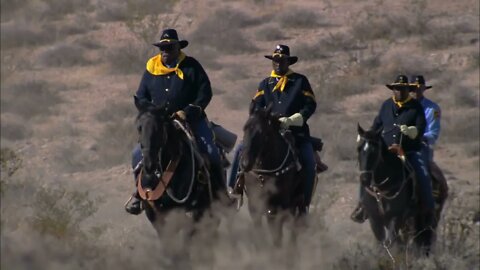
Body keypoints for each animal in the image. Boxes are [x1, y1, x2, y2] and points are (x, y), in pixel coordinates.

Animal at [239, 105, 306, 245]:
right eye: (244, 128)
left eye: (261, 132)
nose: (245, 163)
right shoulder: (254, 206)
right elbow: (259, 236)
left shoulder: (277, 209)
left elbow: (277, 237)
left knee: (294, 231)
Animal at [356, 124, 436, 255]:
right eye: (358, 149)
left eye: (374, 151)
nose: (364, 179)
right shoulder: (374, 218)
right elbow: (382, 242)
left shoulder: (396, 216)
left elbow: (392, 241)